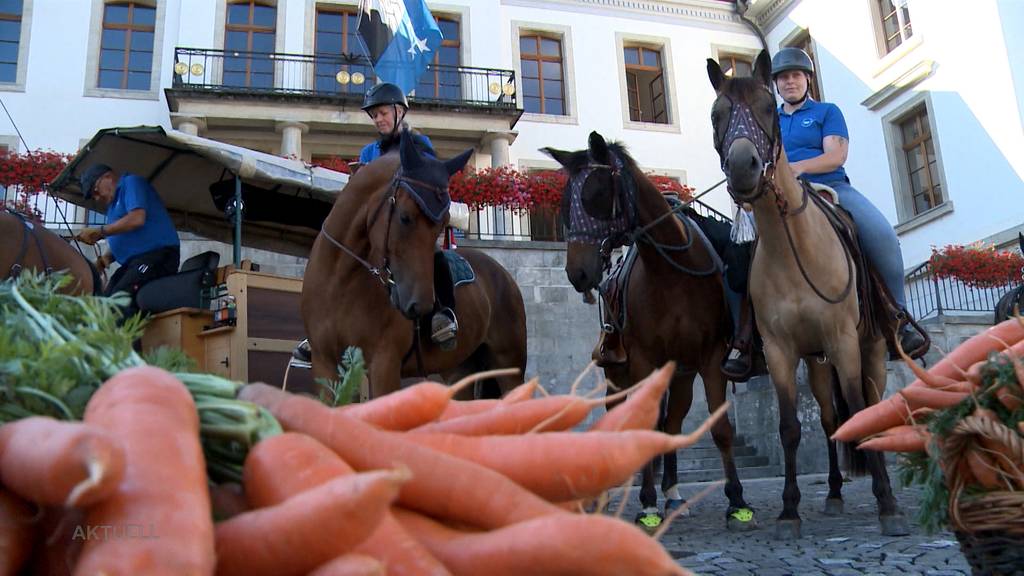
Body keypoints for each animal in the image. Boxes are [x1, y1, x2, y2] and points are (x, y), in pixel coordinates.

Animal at [301, 132, 528, 397]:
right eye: (405, 217)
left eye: (443, 223)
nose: (419, 305)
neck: (340, 281)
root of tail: (503, 274)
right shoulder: (325, 364)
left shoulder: (383, 363)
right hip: (459, 370)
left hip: (508, 367)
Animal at [544, 131, 753, 528]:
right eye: (562, 203)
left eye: (595, 194)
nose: (577, 273)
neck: (673, 272)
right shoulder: (642, 360)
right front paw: (646, 504)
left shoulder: (710, 358)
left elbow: (720, 429)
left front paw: (736, 500)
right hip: (616, 375)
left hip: (681, 375)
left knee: (671, 423)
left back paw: (672, 493)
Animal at [708, 50, 909, 537]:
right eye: (716, 114)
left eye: (768, 107)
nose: (743, 167)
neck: (791, 247)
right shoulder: (781, 351)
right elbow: (789, 428)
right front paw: (789, 510)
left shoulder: (843, 340)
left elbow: (859, 410)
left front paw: (887, 505)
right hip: (817, 363)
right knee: (831, 418)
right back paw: (834, 494)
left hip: (870, 349)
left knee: (870, 407)